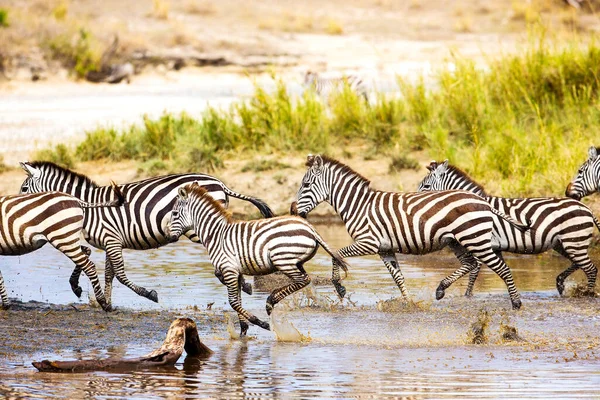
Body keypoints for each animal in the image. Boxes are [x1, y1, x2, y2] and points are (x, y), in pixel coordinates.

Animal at [18, 161, 276, 308]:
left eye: (23, 189)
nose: (17, 208)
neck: (88, 206)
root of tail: (219, 182)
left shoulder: (111, 239)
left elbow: (119, 274)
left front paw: (149, 294)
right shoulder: (110, 241)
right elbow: (109, 273)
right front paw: (104, 301)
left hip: (198, 227)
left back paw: (244, 285)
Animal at [166, 183, 350, 336]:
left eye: (174, 213)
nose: (168, 236)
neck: (216, 235)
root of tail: (310, 228)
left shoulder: (228, 269)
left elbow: (233, 302)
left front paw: (261, 323)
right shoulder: (235, 271)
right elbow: (238, 299)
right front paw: (243, 330)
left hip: (282, 260)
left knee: (304, 280)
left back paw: (271, 301)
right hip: (295, 262)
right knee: (303, 280)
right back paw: (272, 300)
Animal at [290, 154, 528, 310]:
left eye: (306, 185)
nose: (293, 211)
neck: (358, 205)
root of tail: (482, 200)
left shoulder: (368, 242)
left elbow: (336, 255)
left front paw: (339, 287)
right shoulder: (384, 249)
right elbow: (397, 277)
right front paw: (408, 301)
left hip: (474, 239)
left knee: (501, 268)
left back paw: (516, 303)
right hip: (457, 241)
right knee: (470, 264)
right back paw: (440, 289)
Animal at [420, 161, 596, 296]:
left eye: (426, 186)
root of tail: (587, 208)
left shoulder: (480, 242)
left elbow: (474, 271)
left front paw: (467, 296)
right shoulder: (493, 246)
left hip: (574, 240)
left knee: (590, 268)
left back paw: (588, 293)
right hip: (563, 243)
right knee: (579, 263)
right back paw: (560, 283)